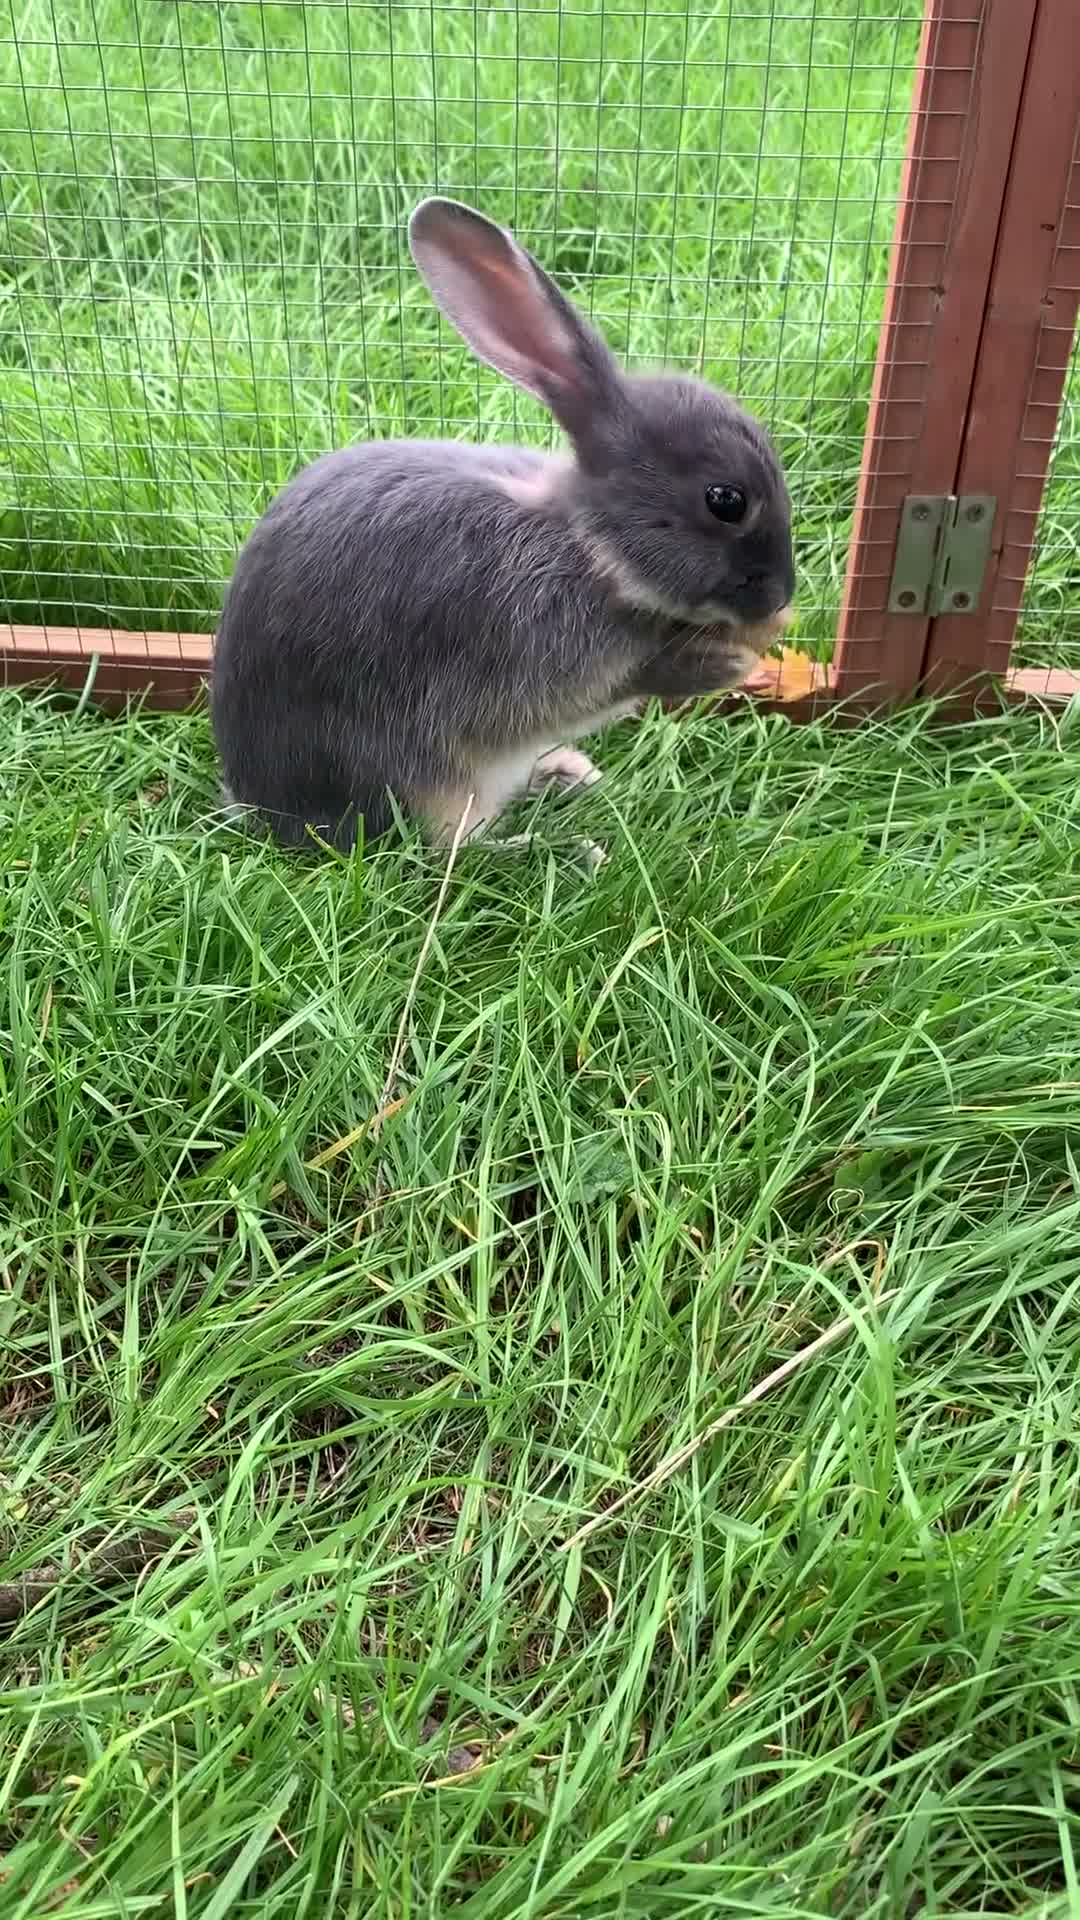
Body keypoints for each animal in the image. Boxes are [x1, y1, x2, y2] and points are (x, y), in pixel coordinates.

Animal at [211, 196, 795, 852]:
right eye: (726, 500)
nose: (779, 600)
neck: (587, 545)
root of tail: (262, 806)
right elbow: (620, 682)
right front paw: (720, 666)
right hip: (427, 785)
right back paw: (560, 847)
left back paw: (566, 774)